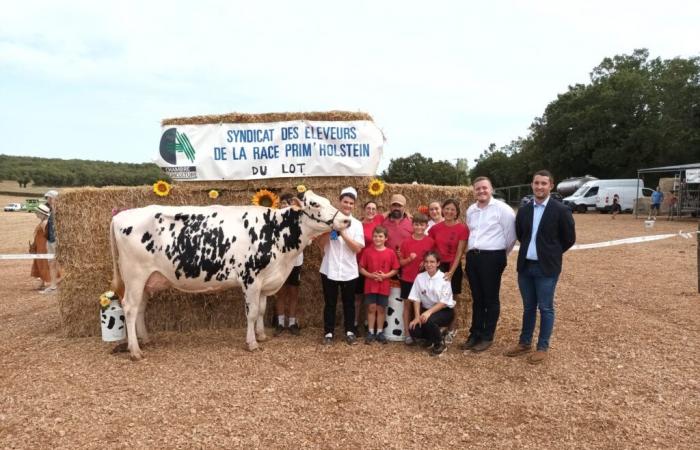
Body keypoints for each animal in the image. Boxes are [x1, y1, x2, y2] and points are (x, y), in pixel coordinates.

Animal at [110, 192, 348, 360]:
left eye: (327, 200)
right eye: (315, 204)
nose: (346, 220)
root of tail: (121, 215)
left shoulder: (264, 281)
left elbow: (261, 310)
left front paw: (261, 335)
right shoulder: (251, 278)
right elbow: (251, 313)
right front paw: (252, 343)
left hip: (146, 281)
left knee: (140, 308)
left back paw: (145, 340)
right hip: (135, 276)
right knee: (129, 308)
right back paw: (135, 351)